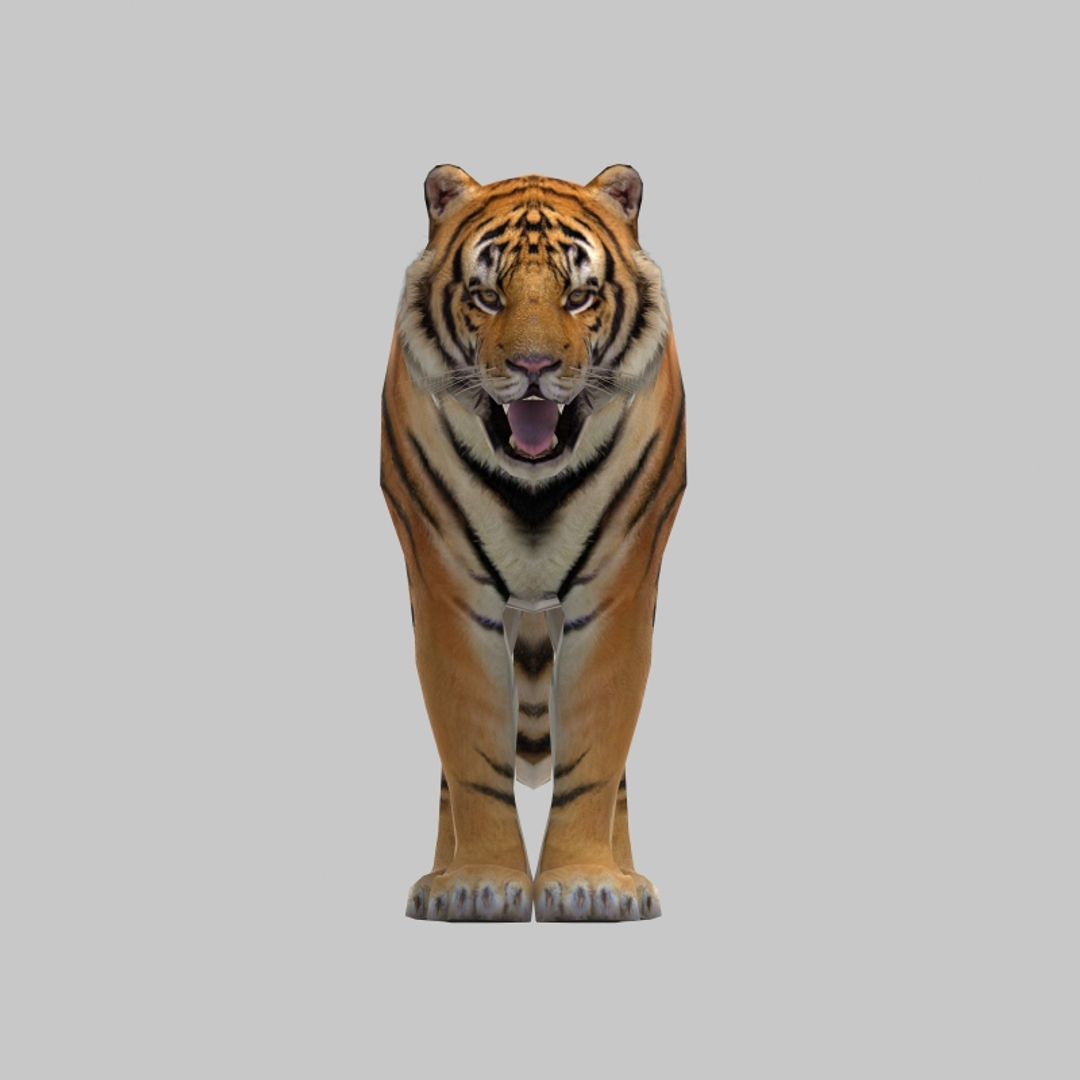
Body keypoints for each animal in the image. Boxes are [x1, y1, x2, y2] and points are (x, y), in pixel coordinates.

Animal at [380, 164, 686, 921]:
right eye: (487, 296)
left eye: (579, 297)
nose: (534, 368)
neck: (533, 485)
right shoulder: (446, 589)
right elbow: (470, 753)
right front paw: (476, 884)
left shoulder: (620, 589)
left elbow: (597, 752)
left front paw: (590, 884)